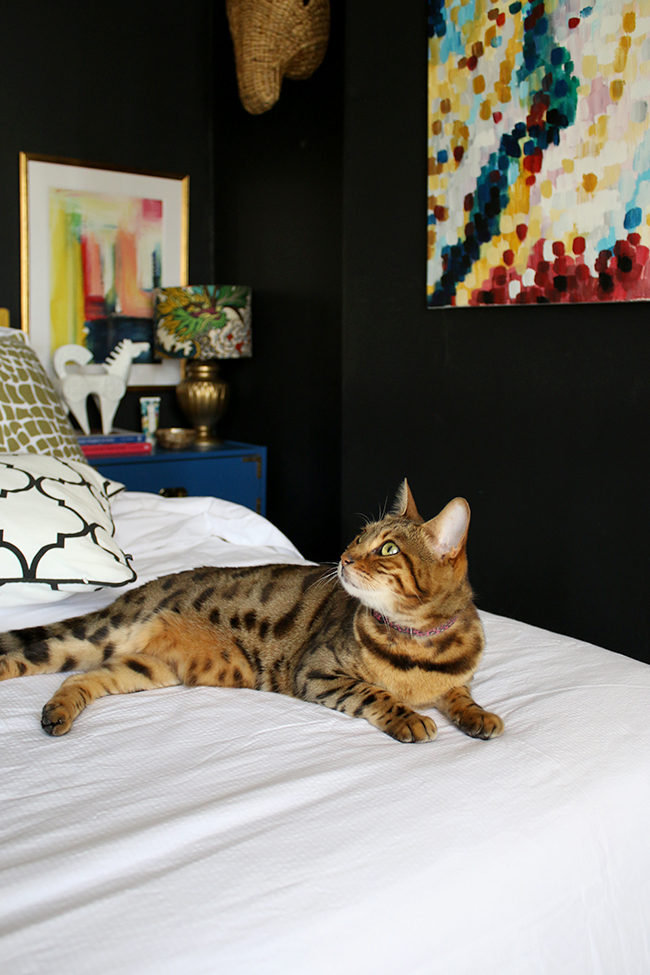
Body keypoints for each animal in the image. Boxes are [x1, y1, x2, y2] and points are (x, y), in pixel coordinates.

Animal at [0, 478, 502, 740]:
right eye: (359, 538)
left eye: (389, 548)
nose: (342, 557)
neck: (418, 642)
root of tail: (139, 590)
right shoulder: (318, 671)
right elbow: (378, 694)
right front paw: (410, 717)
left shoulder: (458, 681)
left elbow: (461, 696)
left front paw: (479, 716)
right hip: (95, 637)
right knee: (24, 658)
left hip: (145, 666)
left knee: (79, 678)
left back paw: (57, 713)